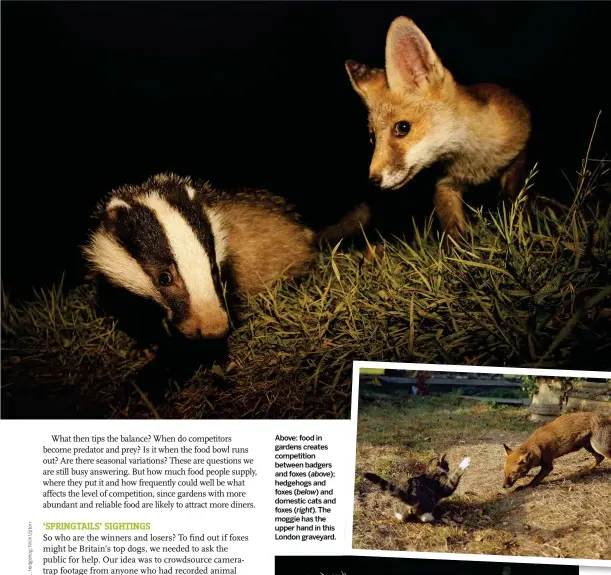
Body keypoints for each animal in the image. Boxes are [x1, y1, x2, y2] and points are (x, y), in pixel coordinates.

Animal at [346, 16, 532, 243]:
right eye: (372, 138)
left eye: (402, 128)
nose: (372, 181)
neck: (474, 165)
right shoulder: (444, 184)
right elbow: (452, 232)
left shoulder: (518, 149)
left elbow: (514, 197)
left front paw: (520, 229)